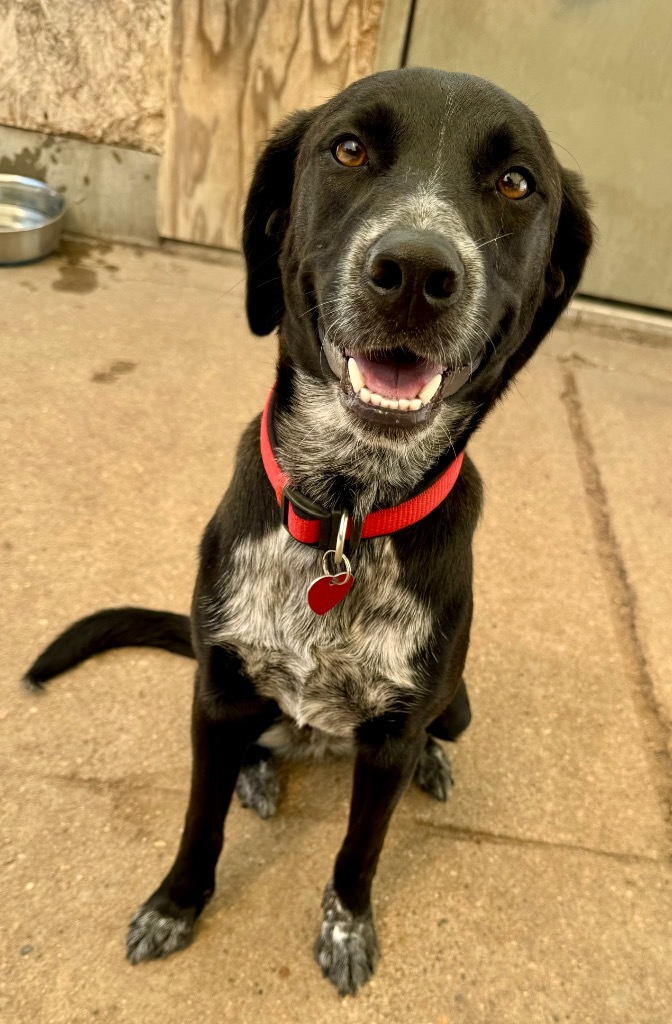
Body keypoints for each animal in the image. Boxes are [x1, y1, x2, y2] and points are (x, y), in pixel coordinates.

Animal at [24, 70, 594, 991]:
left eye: (516, 183)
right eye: (348, 149)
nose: (415, 270)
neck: (346, 508)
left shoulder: (391, 736)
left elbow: (360, 851)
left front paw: (347, 928)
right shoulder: (216, 693)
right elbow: (200, 821)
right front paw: (175, 905)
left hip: (457, 703)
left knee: (432, 733)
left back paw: (431, 760)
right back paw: (258, 770)